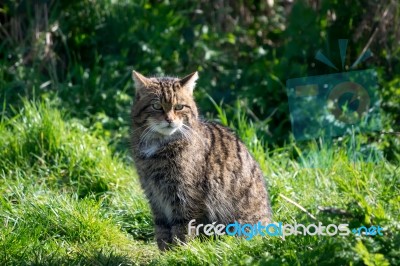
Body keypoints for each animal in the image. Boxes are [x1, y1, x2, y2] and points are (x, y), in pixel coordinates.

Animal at [131, 70, 272, 249]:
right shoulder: (154, 195)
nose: (169, 120)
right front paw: (166, 251)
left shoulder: (185, 196)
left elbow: (182, 229)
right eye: (156, 106)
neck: (159, 145)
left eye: (179, 107)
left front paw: (179, 252)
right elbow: (161, 228)